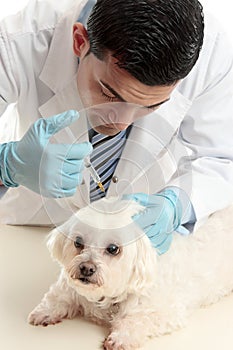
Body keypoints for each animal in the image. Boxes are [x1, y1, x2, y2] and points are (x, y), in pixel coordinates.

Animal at [28, 198, 233, 348]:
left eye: (113, 248)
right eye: (78, 242)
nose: (86, 268)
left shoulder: (166, 311)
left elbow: (138, 319)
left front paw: (121, 337)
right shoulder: (70, 287)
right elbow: (59, 296)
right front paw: (45, 312)